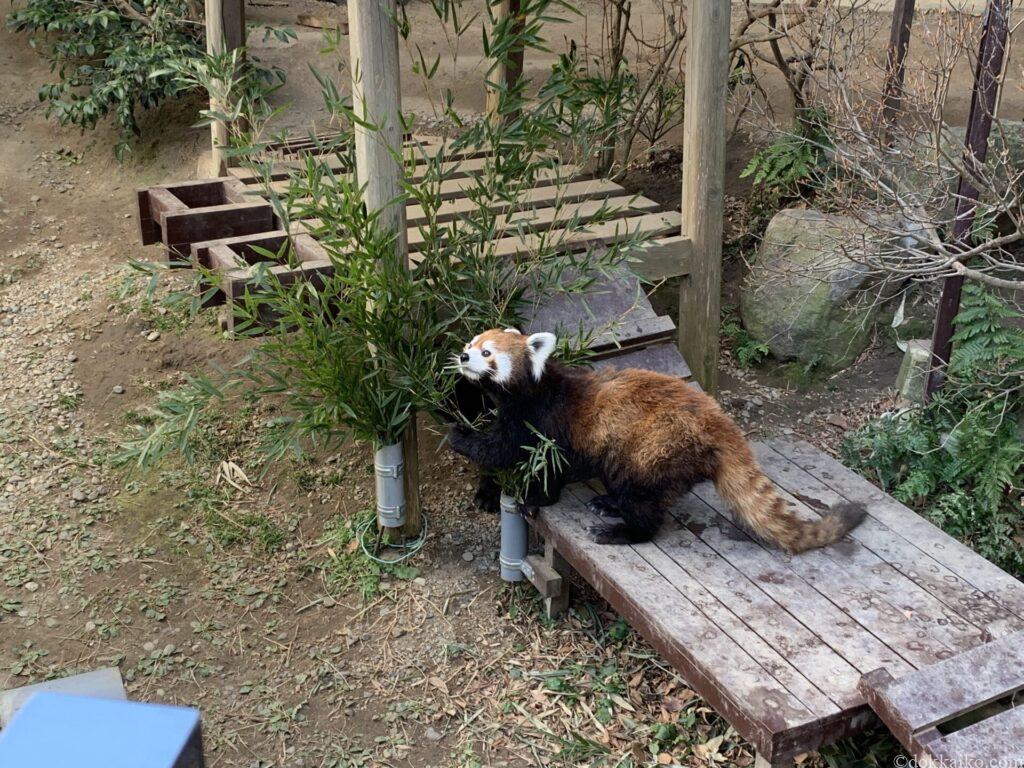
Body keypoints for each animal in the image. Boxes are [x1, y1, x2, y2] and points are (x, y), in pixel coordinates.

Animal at [448, 327, 864, 548]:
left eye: (487, 353)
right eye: (470, 344)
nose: (463, 357)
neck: (532, 388)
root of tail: (719, 422)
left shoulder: (542, 421)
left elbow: (510, 453)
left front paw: (462, 437)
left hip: (654, 449)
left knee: (644, 503)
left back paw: (621, 530)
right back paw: (609, 504)